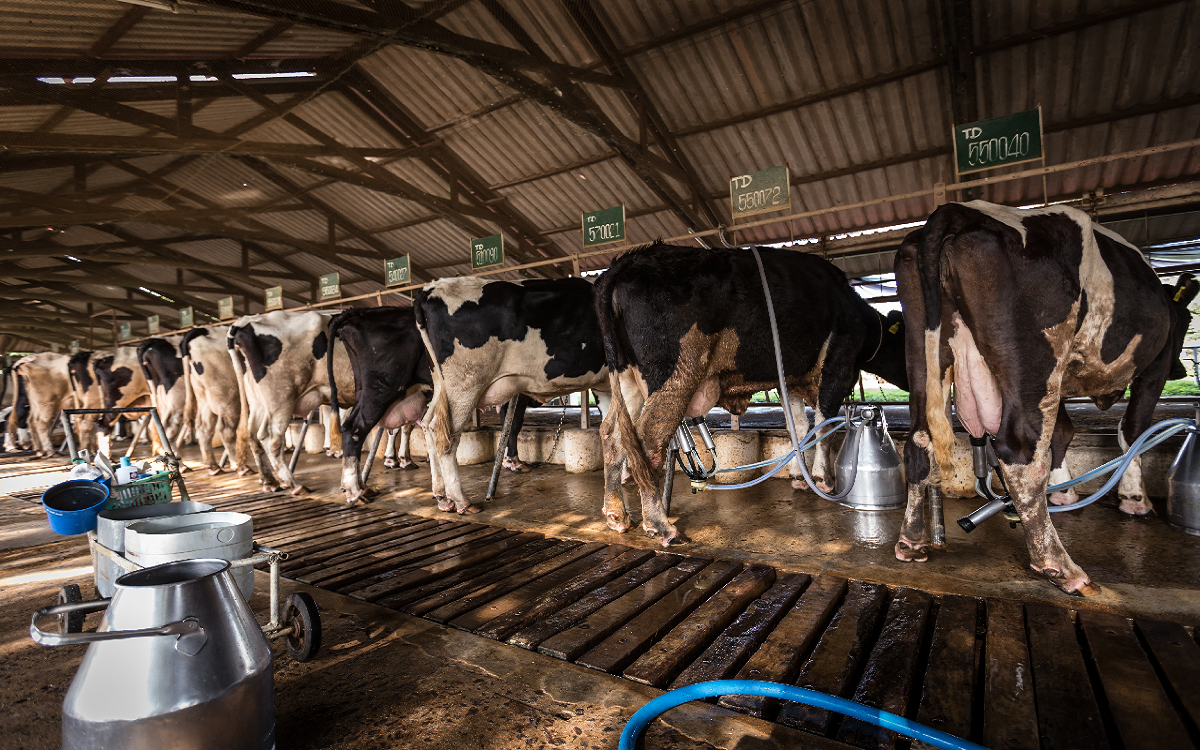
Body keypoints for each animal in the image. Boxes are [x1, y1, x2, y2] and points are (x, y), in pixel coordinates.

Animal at [226, 309, 350, 492]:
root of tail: (243, 322)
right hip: (282, 398)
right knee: (270, 438)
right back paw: (294, 484)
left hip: (257, 401)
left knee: (252, 433)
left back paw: (269, 481)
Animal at [417, 274, 614, 513]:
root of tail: (430, 288)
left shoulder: (605, 384)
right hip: (465, 385)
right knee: (445, 437)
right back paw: (462, 501)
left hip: (441, 384)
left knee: (428, 424)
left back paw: (442, 496)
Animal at [595, 244, 902, 544]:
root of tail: (628, 260)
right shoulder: (839, 364)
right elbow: (824, 426)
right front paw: (822, 479)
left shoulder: (788, 377)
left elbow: (798, 426)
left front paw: (799, 476)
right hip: (675, 374)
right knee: (647, 441)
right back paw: (660, 525)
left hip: (627, 376)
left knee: (612, 434)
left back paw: (616, 515)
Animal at [897, 200, 1195, 597]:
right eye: (1189, 319)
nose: (1181, 369)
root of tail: (959, 209)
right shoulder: (1155, 364)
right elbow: (1133, 431)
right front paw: (1134, 500)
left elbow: (1063, 433)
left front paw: (1064, 493)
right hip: (1038, 359)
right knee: (1021, 451)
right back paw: (1059, 566)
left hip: (923, 350)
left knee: (919, 442)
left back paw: (911, 542)